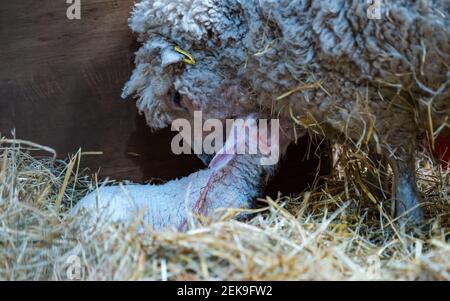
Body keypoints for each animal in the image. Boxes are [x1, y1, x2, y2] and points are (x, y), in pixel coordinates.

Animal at [120, 0, 450, 225]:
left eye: (176, 96)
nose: (207, 160)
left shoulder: (380, 100)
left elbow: (399, 160)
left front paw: (408, 219)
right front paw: (380, 193)